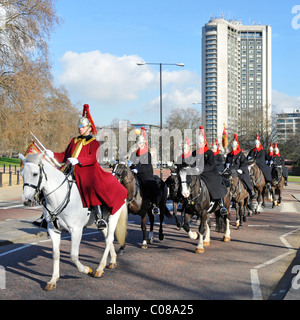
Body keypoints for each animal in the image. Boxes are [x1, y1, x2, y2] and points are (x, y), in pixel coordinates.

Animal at [19, 154, 127, 292]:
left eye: (35, 174)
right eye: (22, 174)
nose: (26, 201)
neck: (58, 197)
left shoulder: (76, 230)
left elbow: (73, 255)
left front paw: (86, 269)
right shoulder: (53, 231)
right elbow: (56, 254)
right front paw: (53, 280)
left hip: (114, 215)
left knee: (109, 239)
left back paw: (99, 269)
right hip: (102, 221)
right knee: (107, 235)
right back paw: (112, 261)